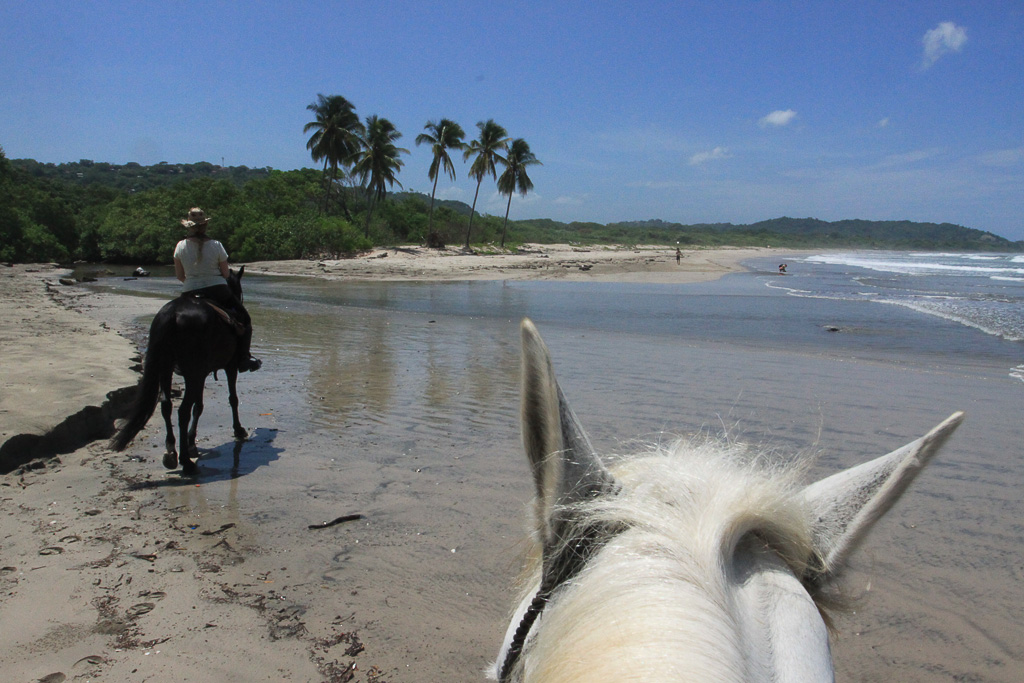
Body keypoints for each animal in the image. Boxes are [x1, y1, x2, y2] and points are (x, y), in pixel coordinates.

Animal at [110, 267, 251, 474]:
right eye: (239, 291)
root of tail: (172, 314)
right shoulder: (227, 367)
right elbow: (231, 399)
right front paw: (238, 430)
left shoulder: (201, 374)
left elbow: (199, 406)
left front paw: (192, 443)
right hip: (192, 373)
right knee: (182, 410)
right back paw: (186, 461)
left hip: (168, 369)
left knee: (166, 406)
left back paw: (171, 452)